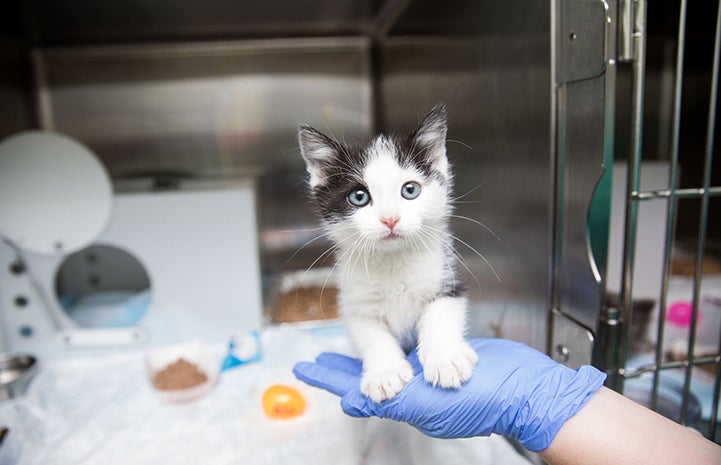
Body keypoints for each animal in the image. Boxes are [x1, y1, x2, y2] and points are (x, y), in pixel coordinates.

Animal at [298, 105, 478, 402]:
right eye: (358, 196)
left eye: (410, 190)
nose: (390, 219)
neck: (393, 261)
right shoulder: (354, 302)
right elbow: (371, 334)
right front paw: (385, 373)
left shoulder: (448, 279)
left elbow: (440, 314)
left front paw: (445, 358)